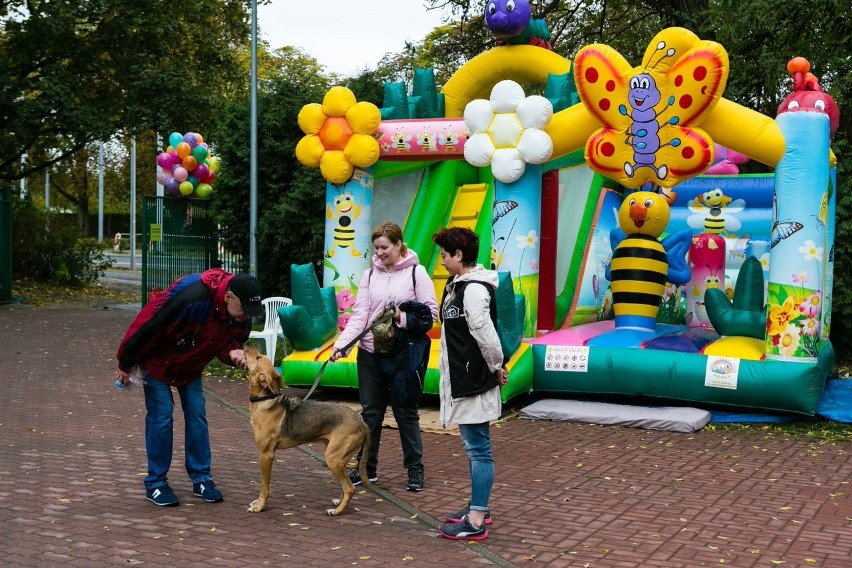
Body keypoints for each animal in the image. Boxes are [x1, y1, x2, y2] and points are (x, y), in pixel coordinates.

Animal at [243, 342, 370, 516]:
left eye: (257, 357)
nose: (247, 343)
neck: (265, 399)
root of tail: (361, 421)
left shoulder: (266, 455)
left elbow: (264, 486)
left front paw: (260, 506)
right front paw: (258, 503)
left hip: (333, 459)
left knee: (350, 489)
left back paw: (336, 511)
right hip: (339, 458)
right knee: (346, 486)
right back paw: (338, 503)